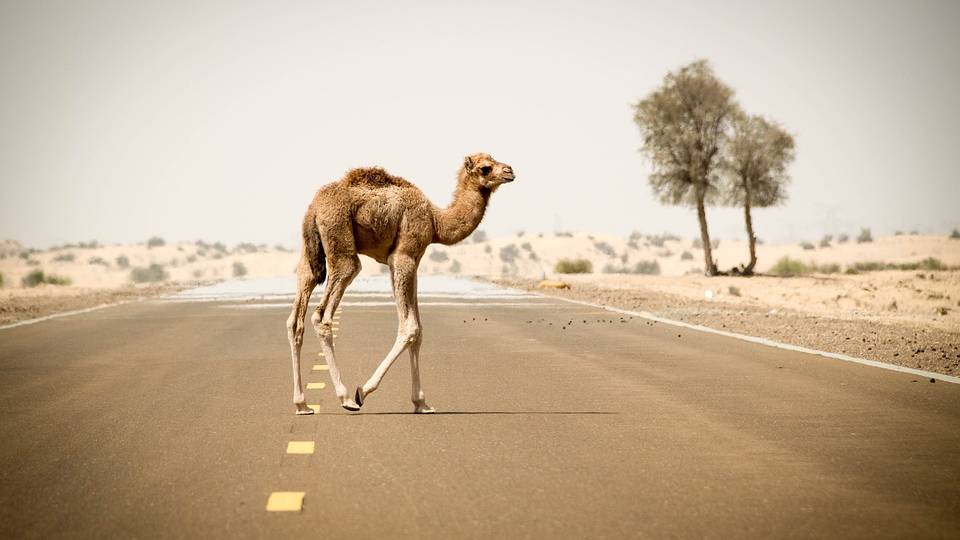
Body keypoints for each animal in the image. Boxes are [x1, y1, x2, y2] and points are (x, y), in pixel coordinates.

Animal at [286, 154, 516, 416]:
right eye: (485, 168)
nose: (510, 171)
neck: (436, 221)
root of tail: (314, 209)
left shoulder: (413, 261)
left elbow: (419, 330)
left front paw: (422, 403)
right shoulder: (403, 256)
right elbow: (410, 328)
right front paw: (363, 391)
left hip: (309, 255)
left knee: (296, 318)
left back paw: (302, 404)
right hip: (341, 243)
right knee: (323, 316)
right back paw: (346, 398)